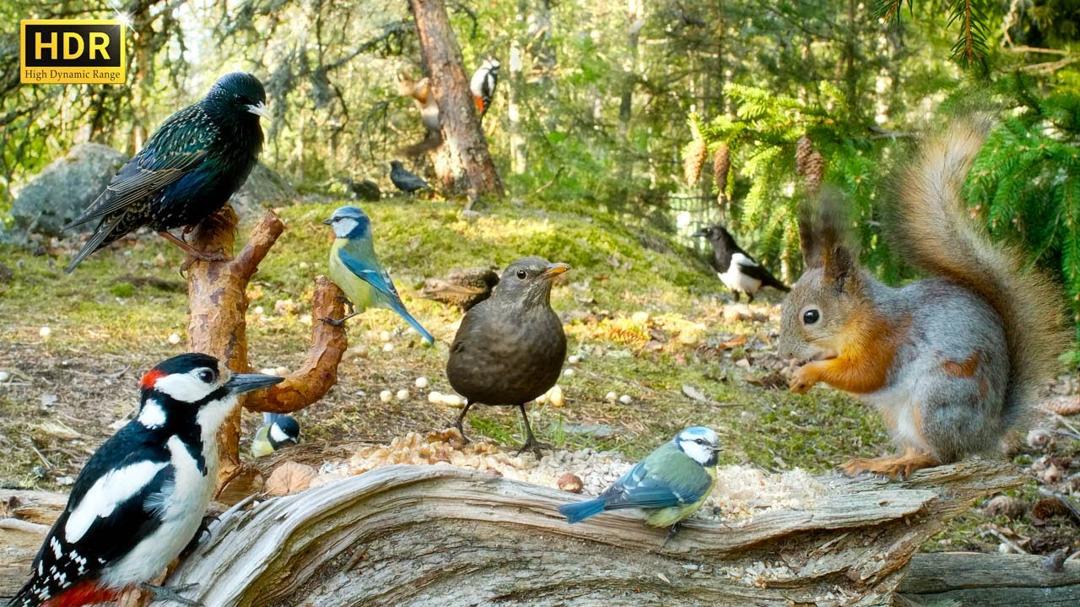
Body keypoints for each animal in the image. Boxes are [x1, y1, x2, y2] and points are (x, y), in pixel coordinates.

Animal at [778, 121, 1068, 479]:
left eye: (811, 316)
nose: (784, 353)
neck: (860, 316)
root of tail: (986, 432)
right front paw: (794, 371)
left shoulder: (886, 341)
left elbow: (864, 375)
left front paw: (809, 372)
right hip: (898, 416)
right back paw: (880, 461)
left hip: (936, 400)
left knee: (944, 455)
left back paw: (908, 462)